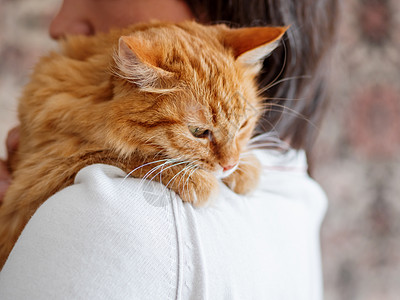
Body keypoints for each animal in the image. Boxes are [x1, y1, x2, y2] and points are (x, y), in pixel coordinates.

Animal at [0, 21, 288, 266]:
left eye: (243, 125)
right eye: (198, 132)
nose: (230, 165)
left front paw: (245, 167)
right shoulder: (37, 176)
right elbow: (119, 155)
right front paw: (197, 179)